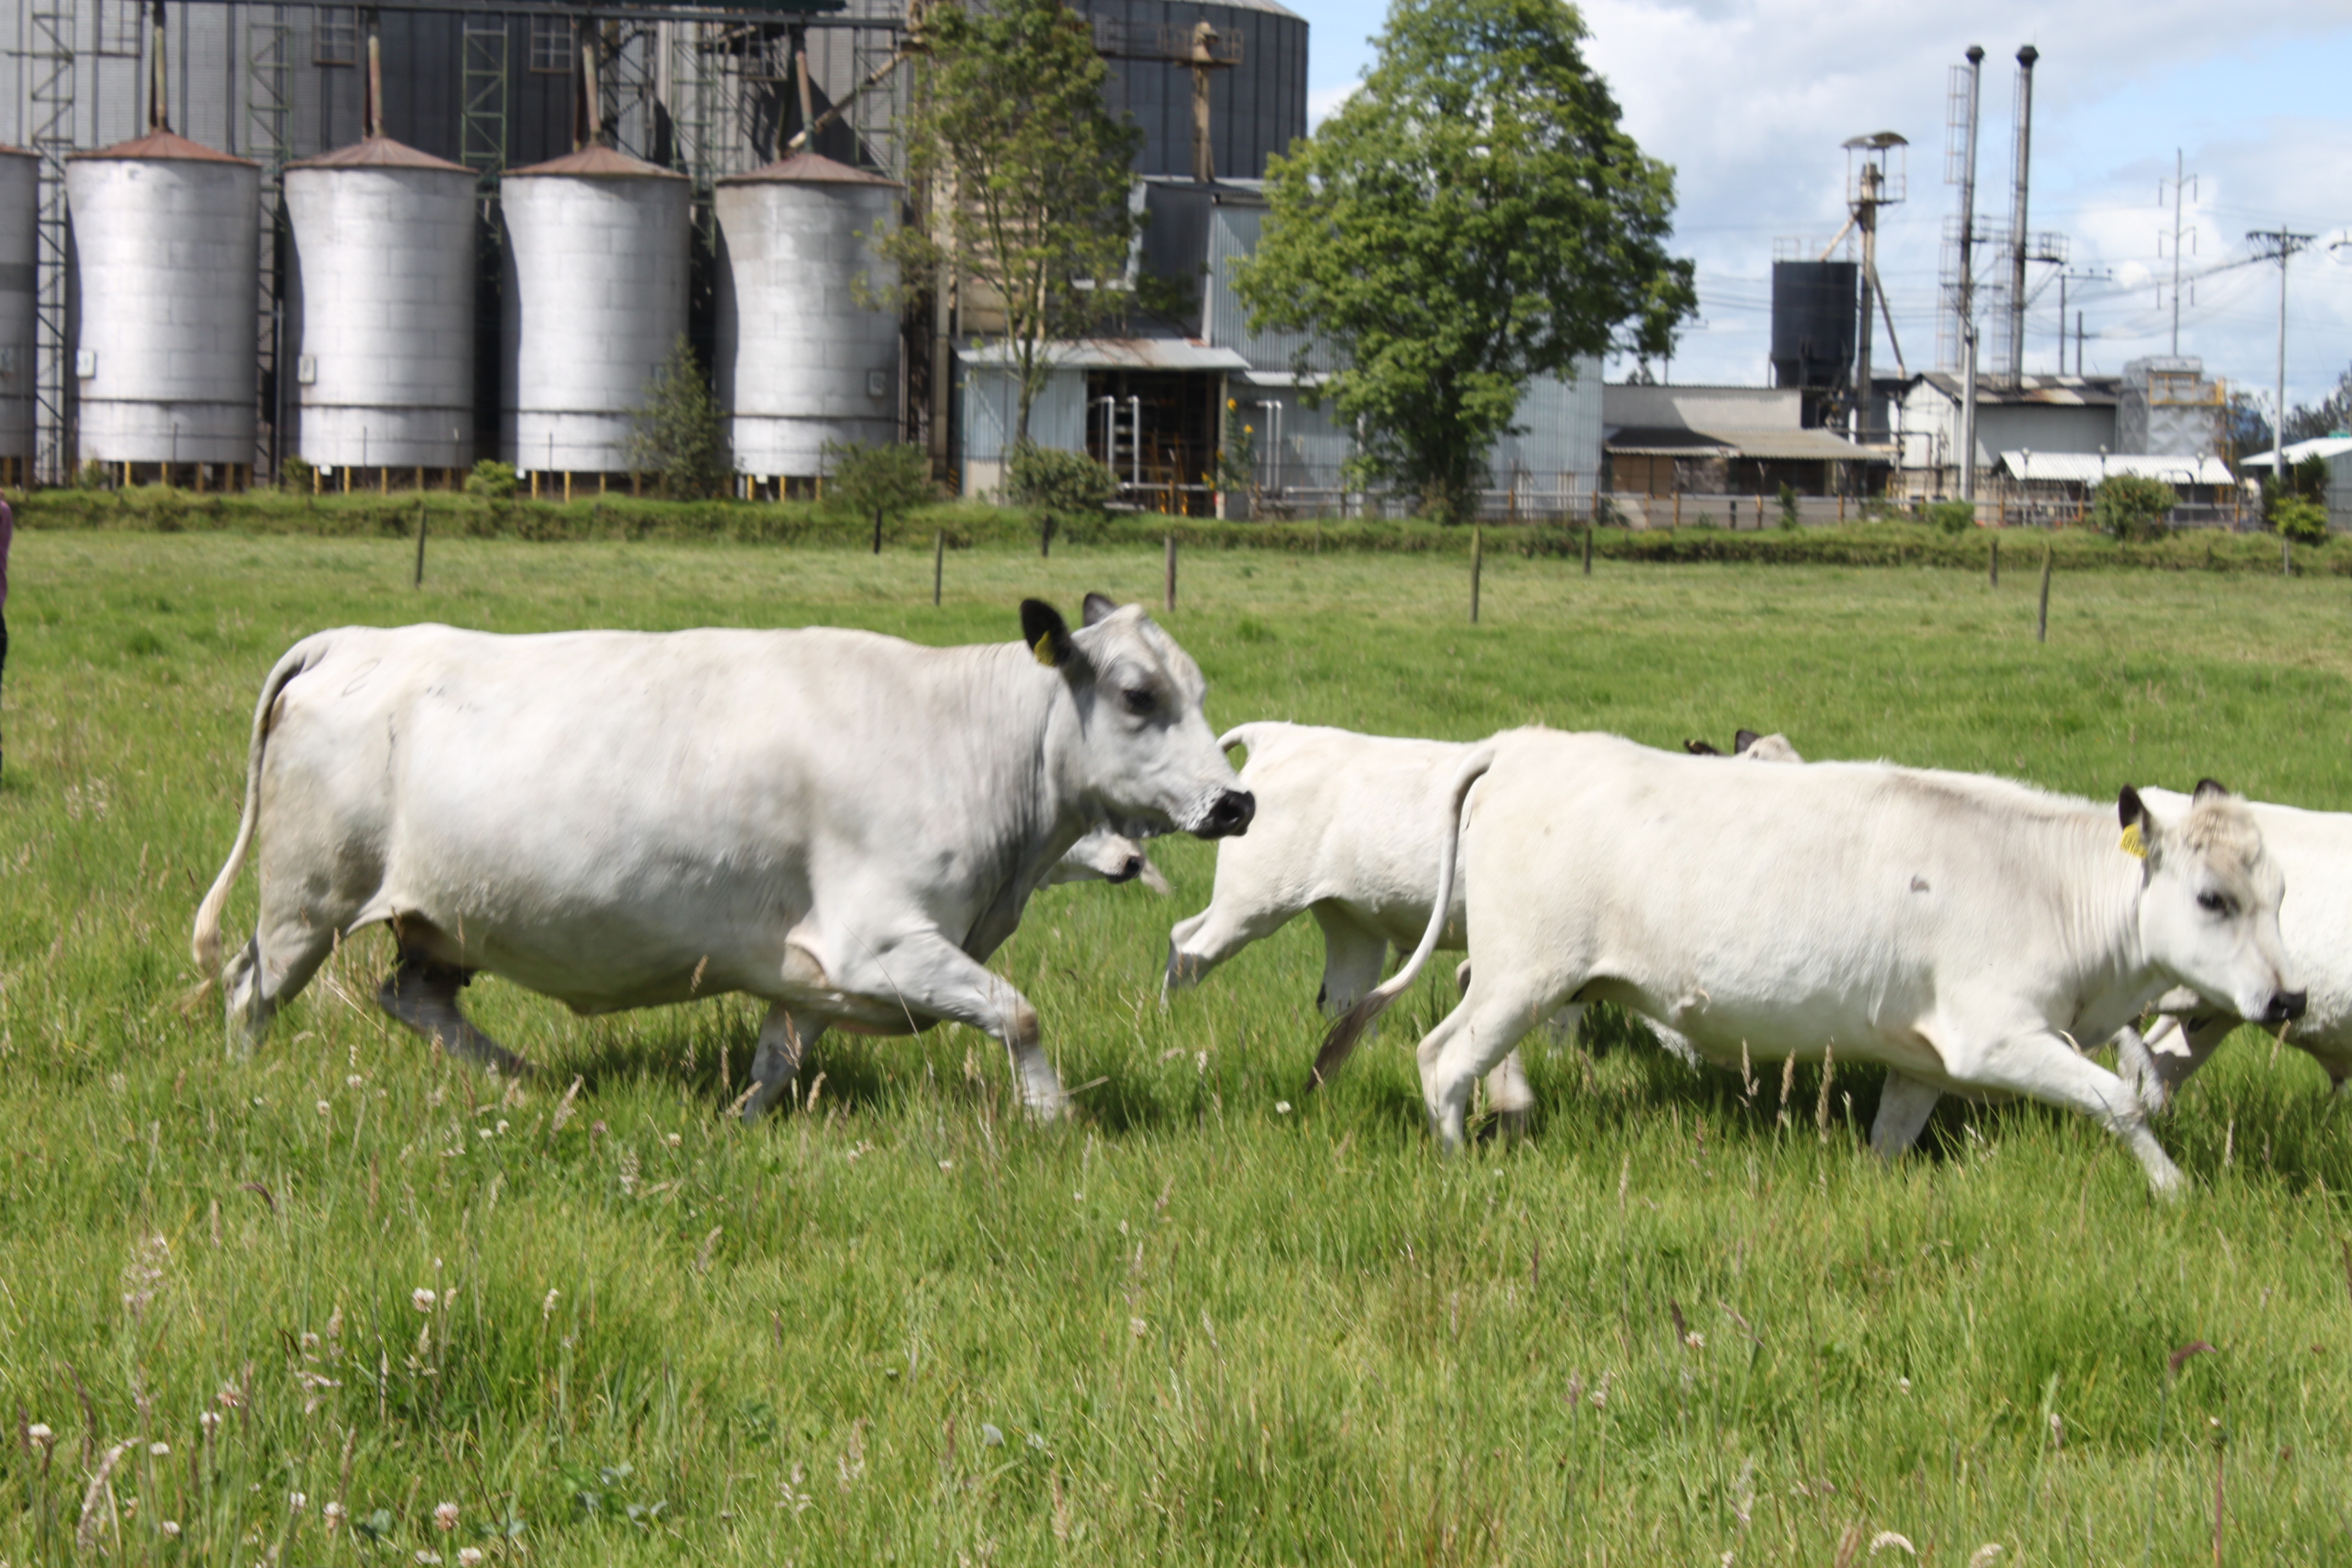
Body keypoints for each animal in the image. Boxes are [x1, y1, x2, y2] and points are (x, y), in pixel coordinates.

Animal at [193, 594, 1260, 1124]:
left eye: (1201, 689)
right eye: (1136, 695)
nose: (1236, 801)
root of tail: (351, 641)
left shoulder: (811, 973)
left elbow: (775, 1064)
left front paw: (735, 1129)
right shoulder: (882, 942)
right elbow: (1020, 1012)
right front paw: (1051, 1124)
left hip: (439, 921)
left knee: (411, 998)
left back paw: (534, 1082)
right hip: (308, 899)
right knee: (249, 990)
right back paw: (243, 1086)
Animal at [1317, 728, 2304, 1194]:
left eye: (2281, 894)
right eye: (2213, 899)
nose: (2288, 999)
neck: (2045, 883)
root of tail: (1523, 744)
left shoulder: (1924, 1058)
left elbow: (1891, 1139)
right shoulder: (1998, 1037)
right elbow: (2121, 1102)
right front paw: (2176, 1191)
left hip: (1524, 974)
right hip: (1527, 972)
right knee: (1443, 1056)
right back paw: (1457, 1163)